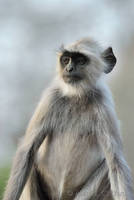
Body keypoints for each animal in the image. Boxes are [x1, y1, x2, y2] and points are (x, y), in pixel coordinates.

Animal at [3, 38, 134, 200]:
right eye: (66, 60)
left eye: (81, 61)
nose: (69, 69)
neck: (76, 95)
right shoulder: (51, 98)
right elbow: (26, 151)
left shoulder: (103, 105)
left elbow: (115, 162)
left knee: (106, 166)